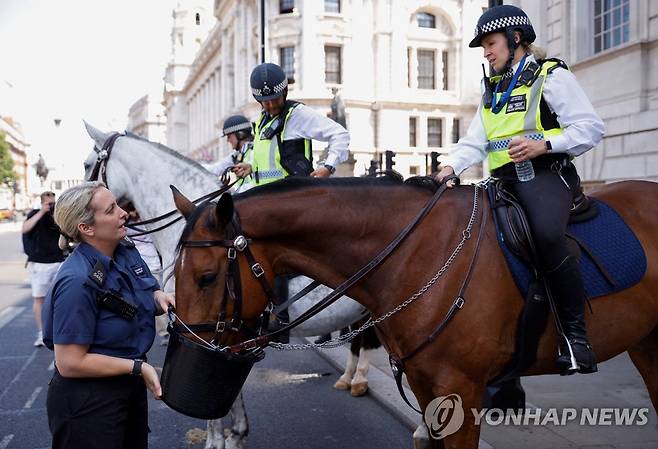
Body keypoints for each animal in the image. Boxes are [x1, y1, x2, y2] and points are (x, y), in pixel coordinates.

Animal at [82, 124, 380, 448]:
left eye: (87, 164)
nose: (65, 231)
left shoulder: (207, 325)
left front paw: (216, 439)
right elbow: (227, 387)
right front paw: (236, 433)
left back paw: (362, 381)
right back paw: (350, 378)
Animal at [170, 177, 656, 446]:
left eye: (207, 278)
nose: (189, 348)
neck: (417, 252)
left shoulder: (462, 391)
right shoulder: (428, 386)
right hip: (647, 343)